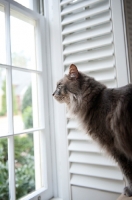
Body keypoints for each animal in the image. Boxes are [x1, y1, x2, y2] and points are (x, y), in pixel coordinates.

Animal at [52, 63, 132, 197]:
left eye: (59, 85)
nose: (52, 94)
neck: (95, 102)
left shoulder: (115, 146)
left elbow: (127, 170)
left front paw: (130, 190)